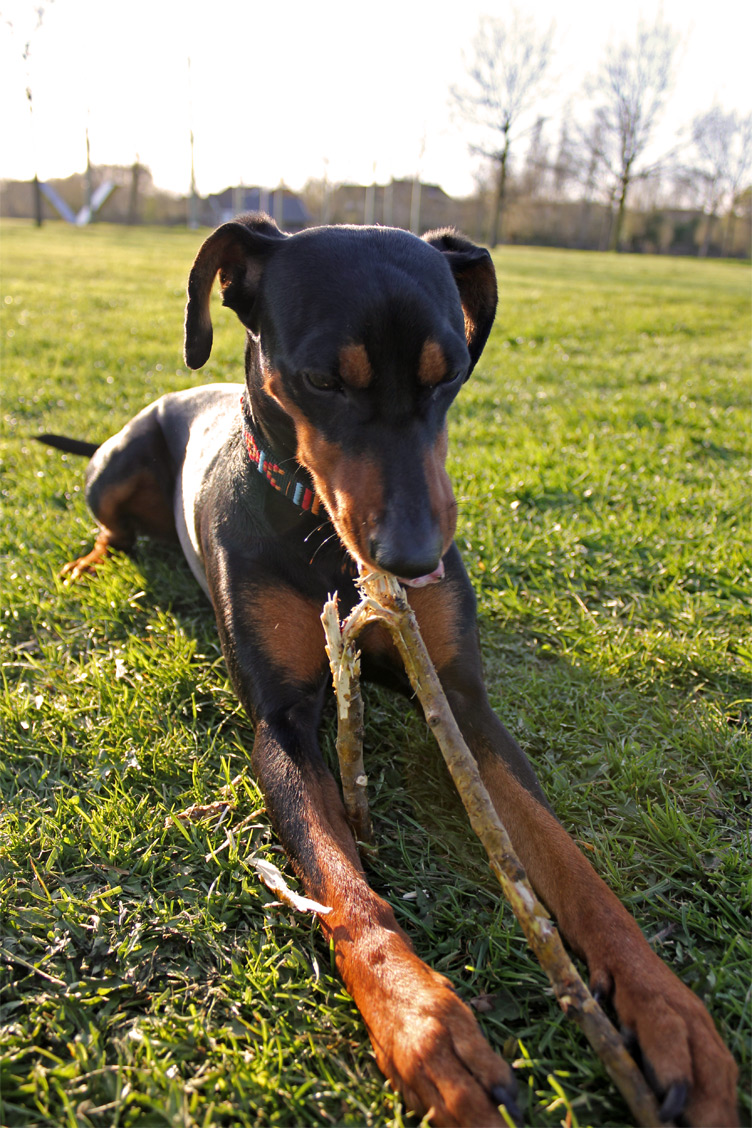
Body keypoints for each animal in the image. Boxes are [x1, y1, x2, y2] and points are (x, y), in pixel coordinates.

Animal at [38, 213, 739, 1128]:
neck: (322, 541)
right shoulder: (284, 723)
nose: (413, 559)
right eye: (320, 381)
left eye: (454, 375)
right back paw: (87, 565)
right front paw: (426, 1027)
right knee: (109, 528)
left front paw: (668, 1012)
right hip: (116, 472)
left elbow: (570, 863)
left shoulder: (464, 705)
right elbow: (344, 888)